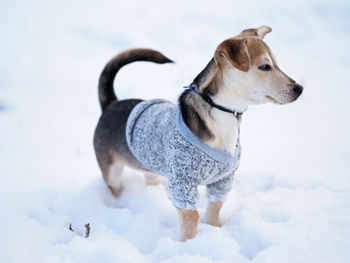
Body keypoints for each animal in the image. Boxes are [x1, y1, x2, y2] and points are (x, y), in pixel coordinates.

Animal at [93, 25, 304, 242]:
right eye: (264, 67)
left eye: (277, 64)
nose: (300, 88)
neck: (224, 114)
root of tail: (111, 104)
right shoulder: (182, 182)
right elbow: (192, 216)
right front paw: (189, 243)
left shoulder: (223, 180)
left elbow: (215, 206)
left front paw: (214, 228)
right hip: (112, 170)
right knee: (114, 185)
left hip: (148, 165)